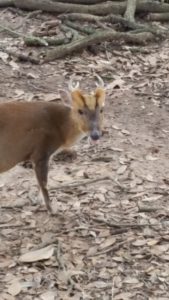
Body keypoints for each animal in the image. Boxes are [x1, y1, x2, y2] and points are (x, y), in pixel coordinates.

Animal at [0, 75, 105, 213]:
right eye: (80, 111)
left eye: (101, 110)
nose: (95, 135)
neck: (61, 129)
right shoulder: (40, 152)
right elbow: (44, 183)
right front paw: (52, 209)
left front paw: (38, 202)